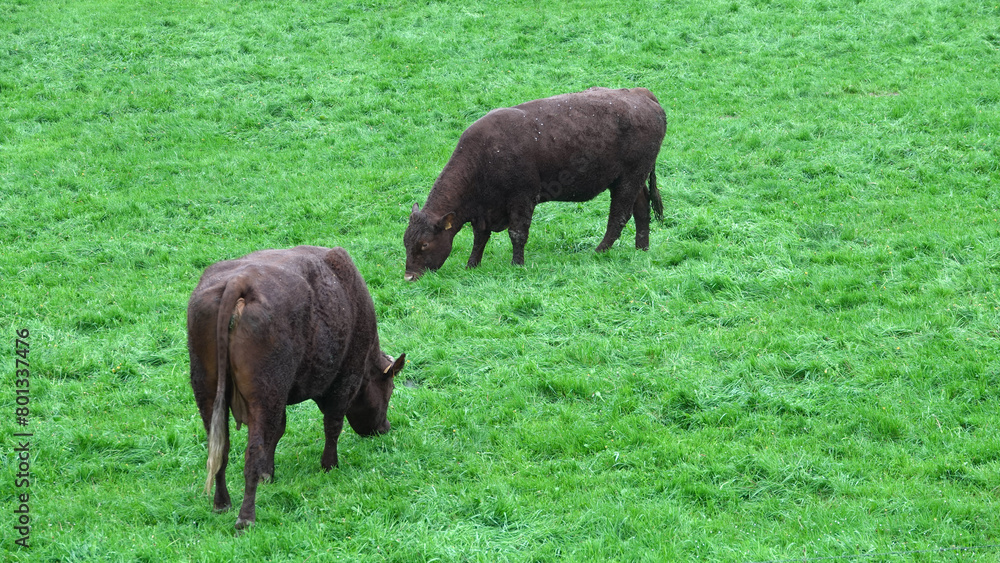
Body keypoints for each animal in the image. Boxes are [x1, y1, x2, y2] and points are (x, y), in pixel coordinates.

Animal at [187, 245, 406, 530]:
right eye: (390, 390)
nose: (384, 428)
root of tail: (239, 281)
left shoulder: (282, 396)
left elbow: (278, 430)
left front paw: (268, 475)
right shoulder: (345, 380)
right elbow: (332, 425)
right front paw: (329, 466)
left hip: (209, 391)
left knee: (220, 449)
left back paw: (222, 504)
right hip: (264, 395)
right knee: (251, 452)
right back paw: (246, 519)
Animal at [403, 87, 666, 281]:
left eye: (424, 244)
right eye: (406, 241)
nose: (409, 277)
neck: (485, 156)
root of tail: (640, 93)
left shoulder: (522, 198)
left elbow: (517, 233)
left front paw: (517, 264)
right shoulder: (483, 211)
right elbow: (480, 238)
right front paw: (471, 266)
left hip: (630, 177)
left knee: (619, 215)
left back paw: (600, 250)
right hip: (629, 179)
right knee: (641, 209)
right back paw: (641, 248)